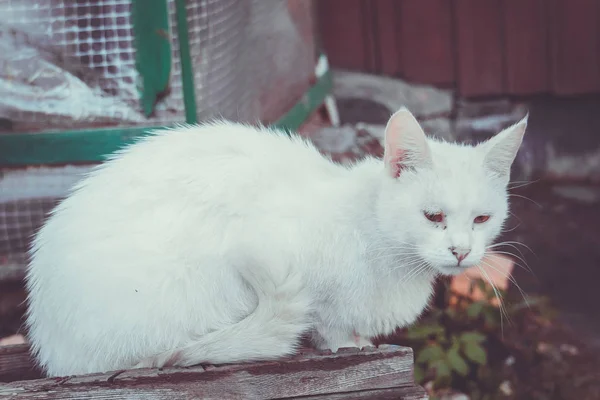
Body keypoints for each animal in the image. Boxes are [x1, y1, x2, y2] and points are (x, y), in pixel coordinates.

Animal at [25, 108, 528, 376]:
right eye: (433, 217)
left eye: (482, 219)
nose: (461, 250)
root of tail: (53, 350)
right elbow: (326, 322)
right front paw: (344, 346)